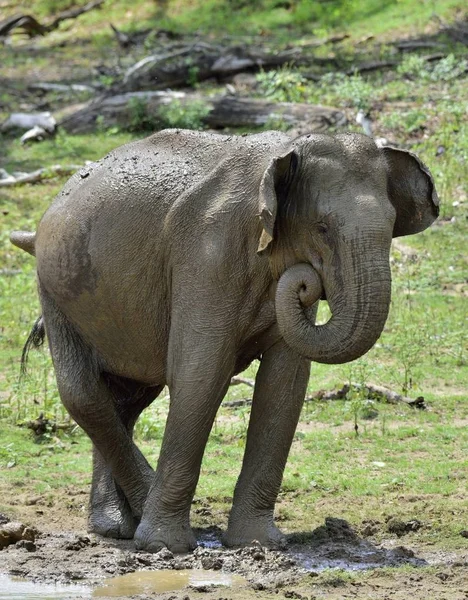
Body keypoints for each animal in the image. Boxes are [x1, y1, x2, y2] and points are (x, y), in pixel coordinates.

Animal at [12, 130, 440, 552]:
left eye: (391, 227)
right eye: (322, 228)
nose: (307, 284)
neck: (285, 152)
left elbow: (284, 384)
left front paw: (259, 543)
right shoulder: (207, 256)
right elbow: (201, 374)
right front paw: (165, 546)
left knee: (127, 400)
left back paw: (116, 524)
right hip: (54, 288)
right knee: (83, 393)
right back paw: (132, 518)